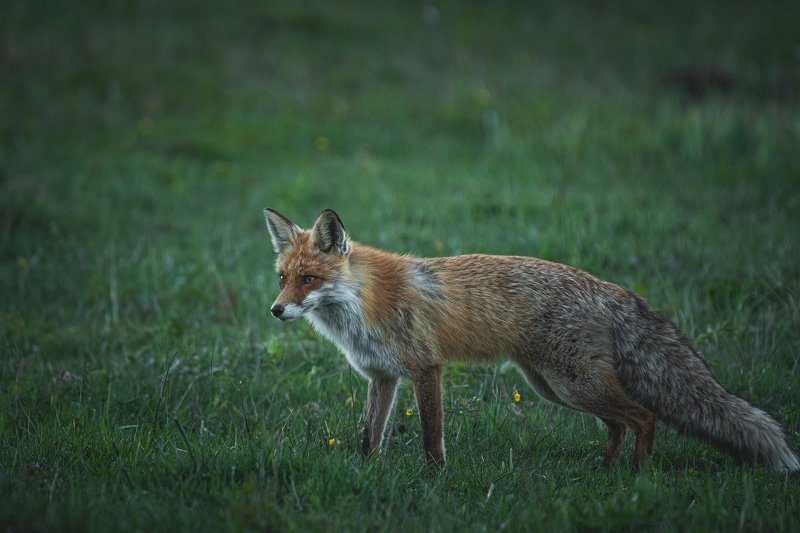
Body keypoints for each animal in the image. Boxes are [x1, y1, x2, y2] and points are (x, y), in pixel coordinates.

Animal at [263, 207, 799, 472]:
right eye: (282, 278)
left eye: (309, 279)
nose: (276, 310)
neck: (362, 304)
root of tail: (612, 289)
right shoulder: (382, 377)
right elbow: (368, 436)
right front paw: (367, 471)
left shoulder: (425, 368)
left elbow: (432, 437)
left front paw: (434, 478)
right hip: (555, 387)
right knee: (619, 423)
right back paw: (606, 470)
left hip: (571, 385)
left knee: (643, 415)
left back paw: (638, 476)